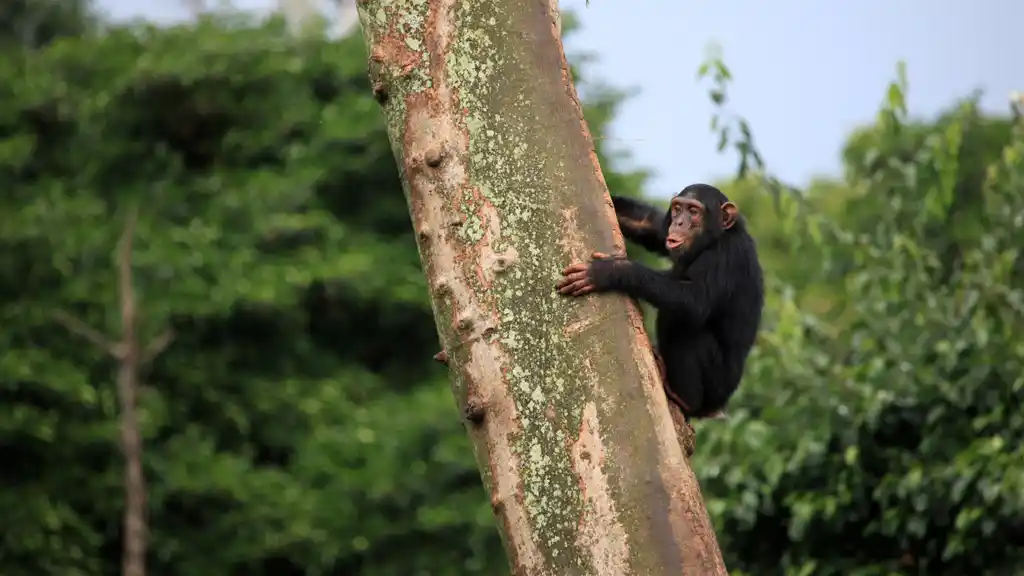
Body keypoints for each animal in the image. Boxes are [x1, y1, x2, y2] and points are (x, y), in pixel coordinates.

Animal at [557, 184, 765, 422]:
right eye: (677, 209)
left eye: (694, 211)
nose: (680, 222)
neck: (714, 240)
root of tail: (718, 408)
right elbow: (650, 225)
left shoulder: (726, 258)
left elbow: (694, 300)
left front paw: (608, 271)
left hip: (715, 388)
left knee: (684, 328)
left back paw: (684, 397)